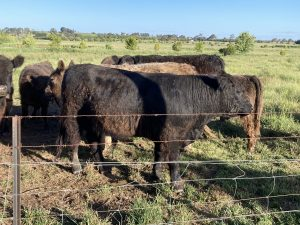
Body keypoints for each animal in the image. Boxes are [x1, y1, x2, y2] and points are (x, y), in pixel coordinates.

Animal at [58, 64, 253, 191]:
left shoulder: (164, 135)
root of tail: (74, 68)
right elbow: (173, 160)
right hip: (72, 118)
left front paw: (156, 175)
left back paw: (102, 166)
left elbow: (159, 155)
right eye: (237, 91)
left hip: (94, 122)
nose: (251, 107)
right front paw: (177, 184)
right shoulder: (173, 135)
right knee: (74, 142)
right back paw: (76, 168)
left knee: (94, 145)